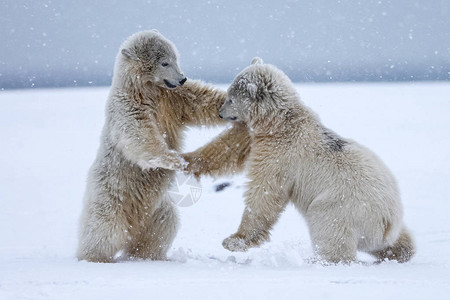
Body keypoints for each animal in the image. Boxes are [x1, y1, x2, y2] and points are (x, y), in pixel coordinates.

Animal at [78, 29, 253, 262]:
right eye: (164, 62)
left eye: (175, 58)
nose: (182, 78)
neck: (144, 89)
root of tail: (133, 226)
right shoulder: (127, 106)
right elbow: (139, 133)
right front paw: (174, 160)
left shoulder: (172, 97)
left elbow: (201, 100)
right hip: (110, 196)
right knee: (104, 228)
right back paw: (94, 257)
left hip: (156, 208)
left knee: (163, 225)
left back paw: (148, 255)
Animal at [218, 57, 414, 264]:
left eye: (231, 98)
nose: (220, 113)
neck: (282, 124)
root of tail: (387, 223)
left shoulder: (280, 155)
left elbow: (265, 192)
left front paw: (234, 240)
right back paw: (400, 251)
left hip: (343, 206)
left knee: (328, 227)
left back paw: (320, 260)